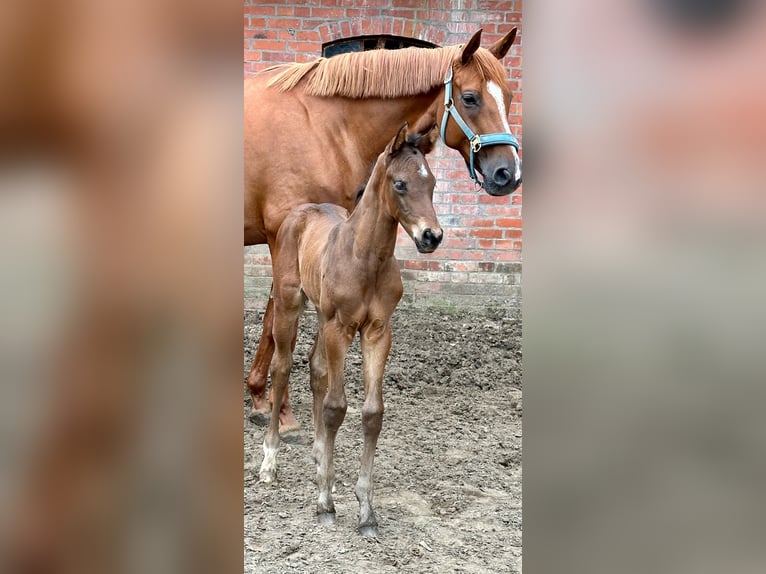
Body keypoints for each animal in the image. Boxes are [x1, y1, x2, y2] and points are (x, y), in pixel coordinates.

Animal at [246, 27, 520, 432]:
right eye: (470, 98)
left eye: (510, 97)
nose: (508, 174)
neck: (323, 125)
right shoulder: (283, 235)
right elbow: (277, 324)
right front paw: (278, 411)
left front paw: (263, 401)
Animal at [258, 122, 440, 540]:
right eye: (400, 184)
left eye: (433, 183)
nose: (431, 236)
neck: (367, 259)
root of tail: (301, 211)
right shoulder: (340, 326)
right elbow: (336, 407)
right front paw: (325, 503)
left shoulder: (377, 331)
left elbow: (372, 412)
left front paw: (365, 510)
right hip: (291, 305)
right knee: (283, 367)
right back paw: (270, 461)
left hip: (321, 316)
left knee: (315, 368)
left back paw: (319, 455)